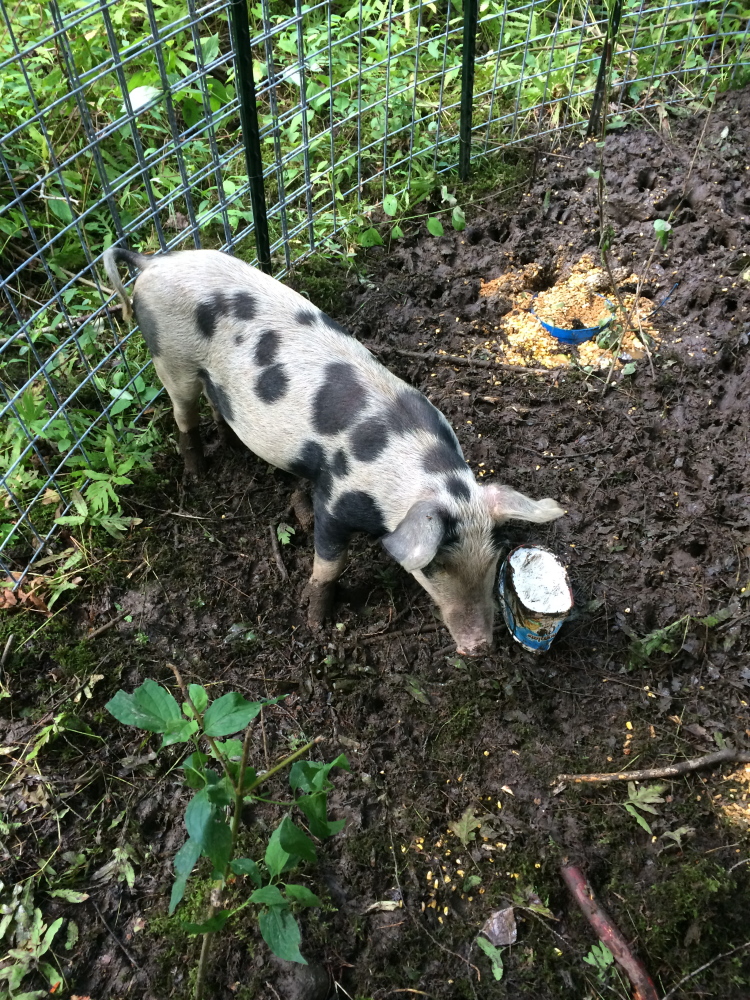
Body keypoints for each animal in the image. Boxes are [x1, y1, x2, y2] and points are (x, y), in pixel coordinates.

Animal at [104, 248, 564, 656]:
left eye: (493, 560)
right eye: (432, 568)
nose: (479, 649)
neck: (418, 474)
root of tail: (153, 262)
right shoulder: (336, 498)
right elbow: (328, 564)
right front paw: (316, 624)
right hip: (170, 358)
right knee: (183, 415)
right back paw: (198, 475)